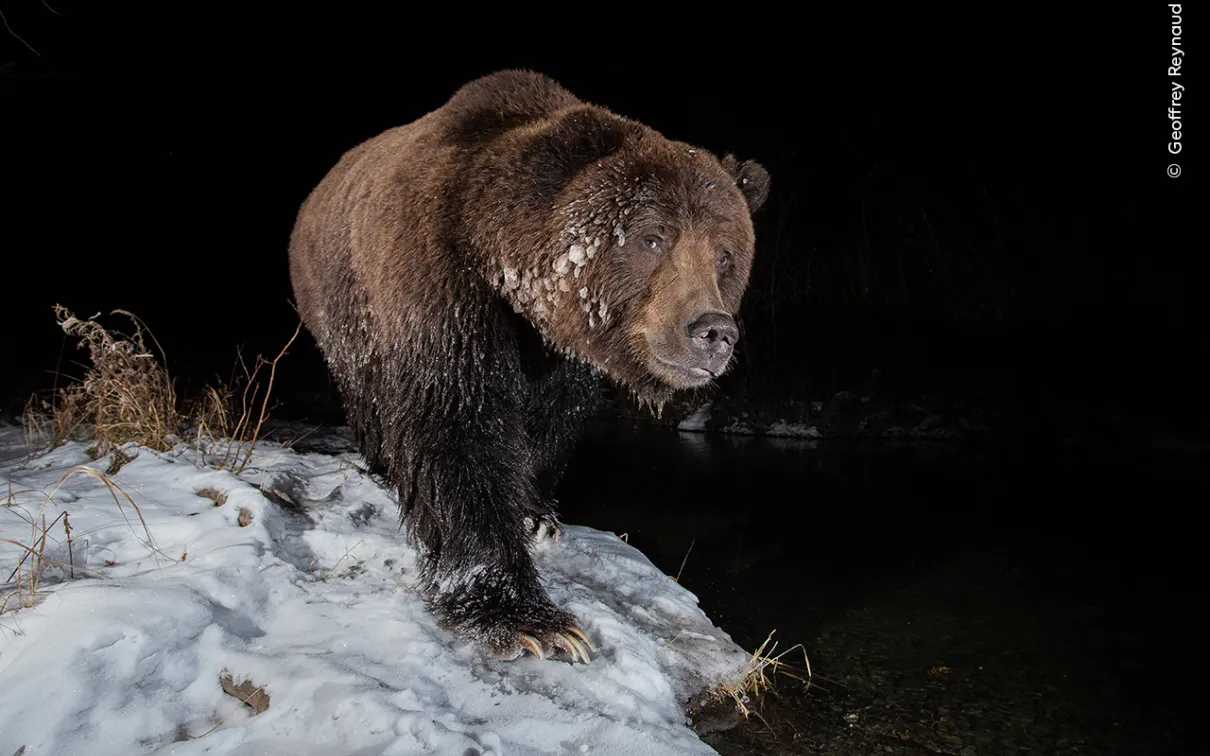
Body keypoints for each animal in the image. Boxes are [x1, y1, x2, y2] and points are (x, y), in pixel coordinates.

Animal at [288, 70, 769, 663]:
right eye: (652, 237)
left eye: (725, 254)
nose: (712, 331)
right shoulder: (438, 283)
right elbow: (456, 425)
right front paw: (527, 619)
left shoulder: (561, 350)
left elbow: (550, 421)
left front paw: (536, 514)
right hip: (342, 308)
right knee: (366, 393)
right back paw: (380, 463)